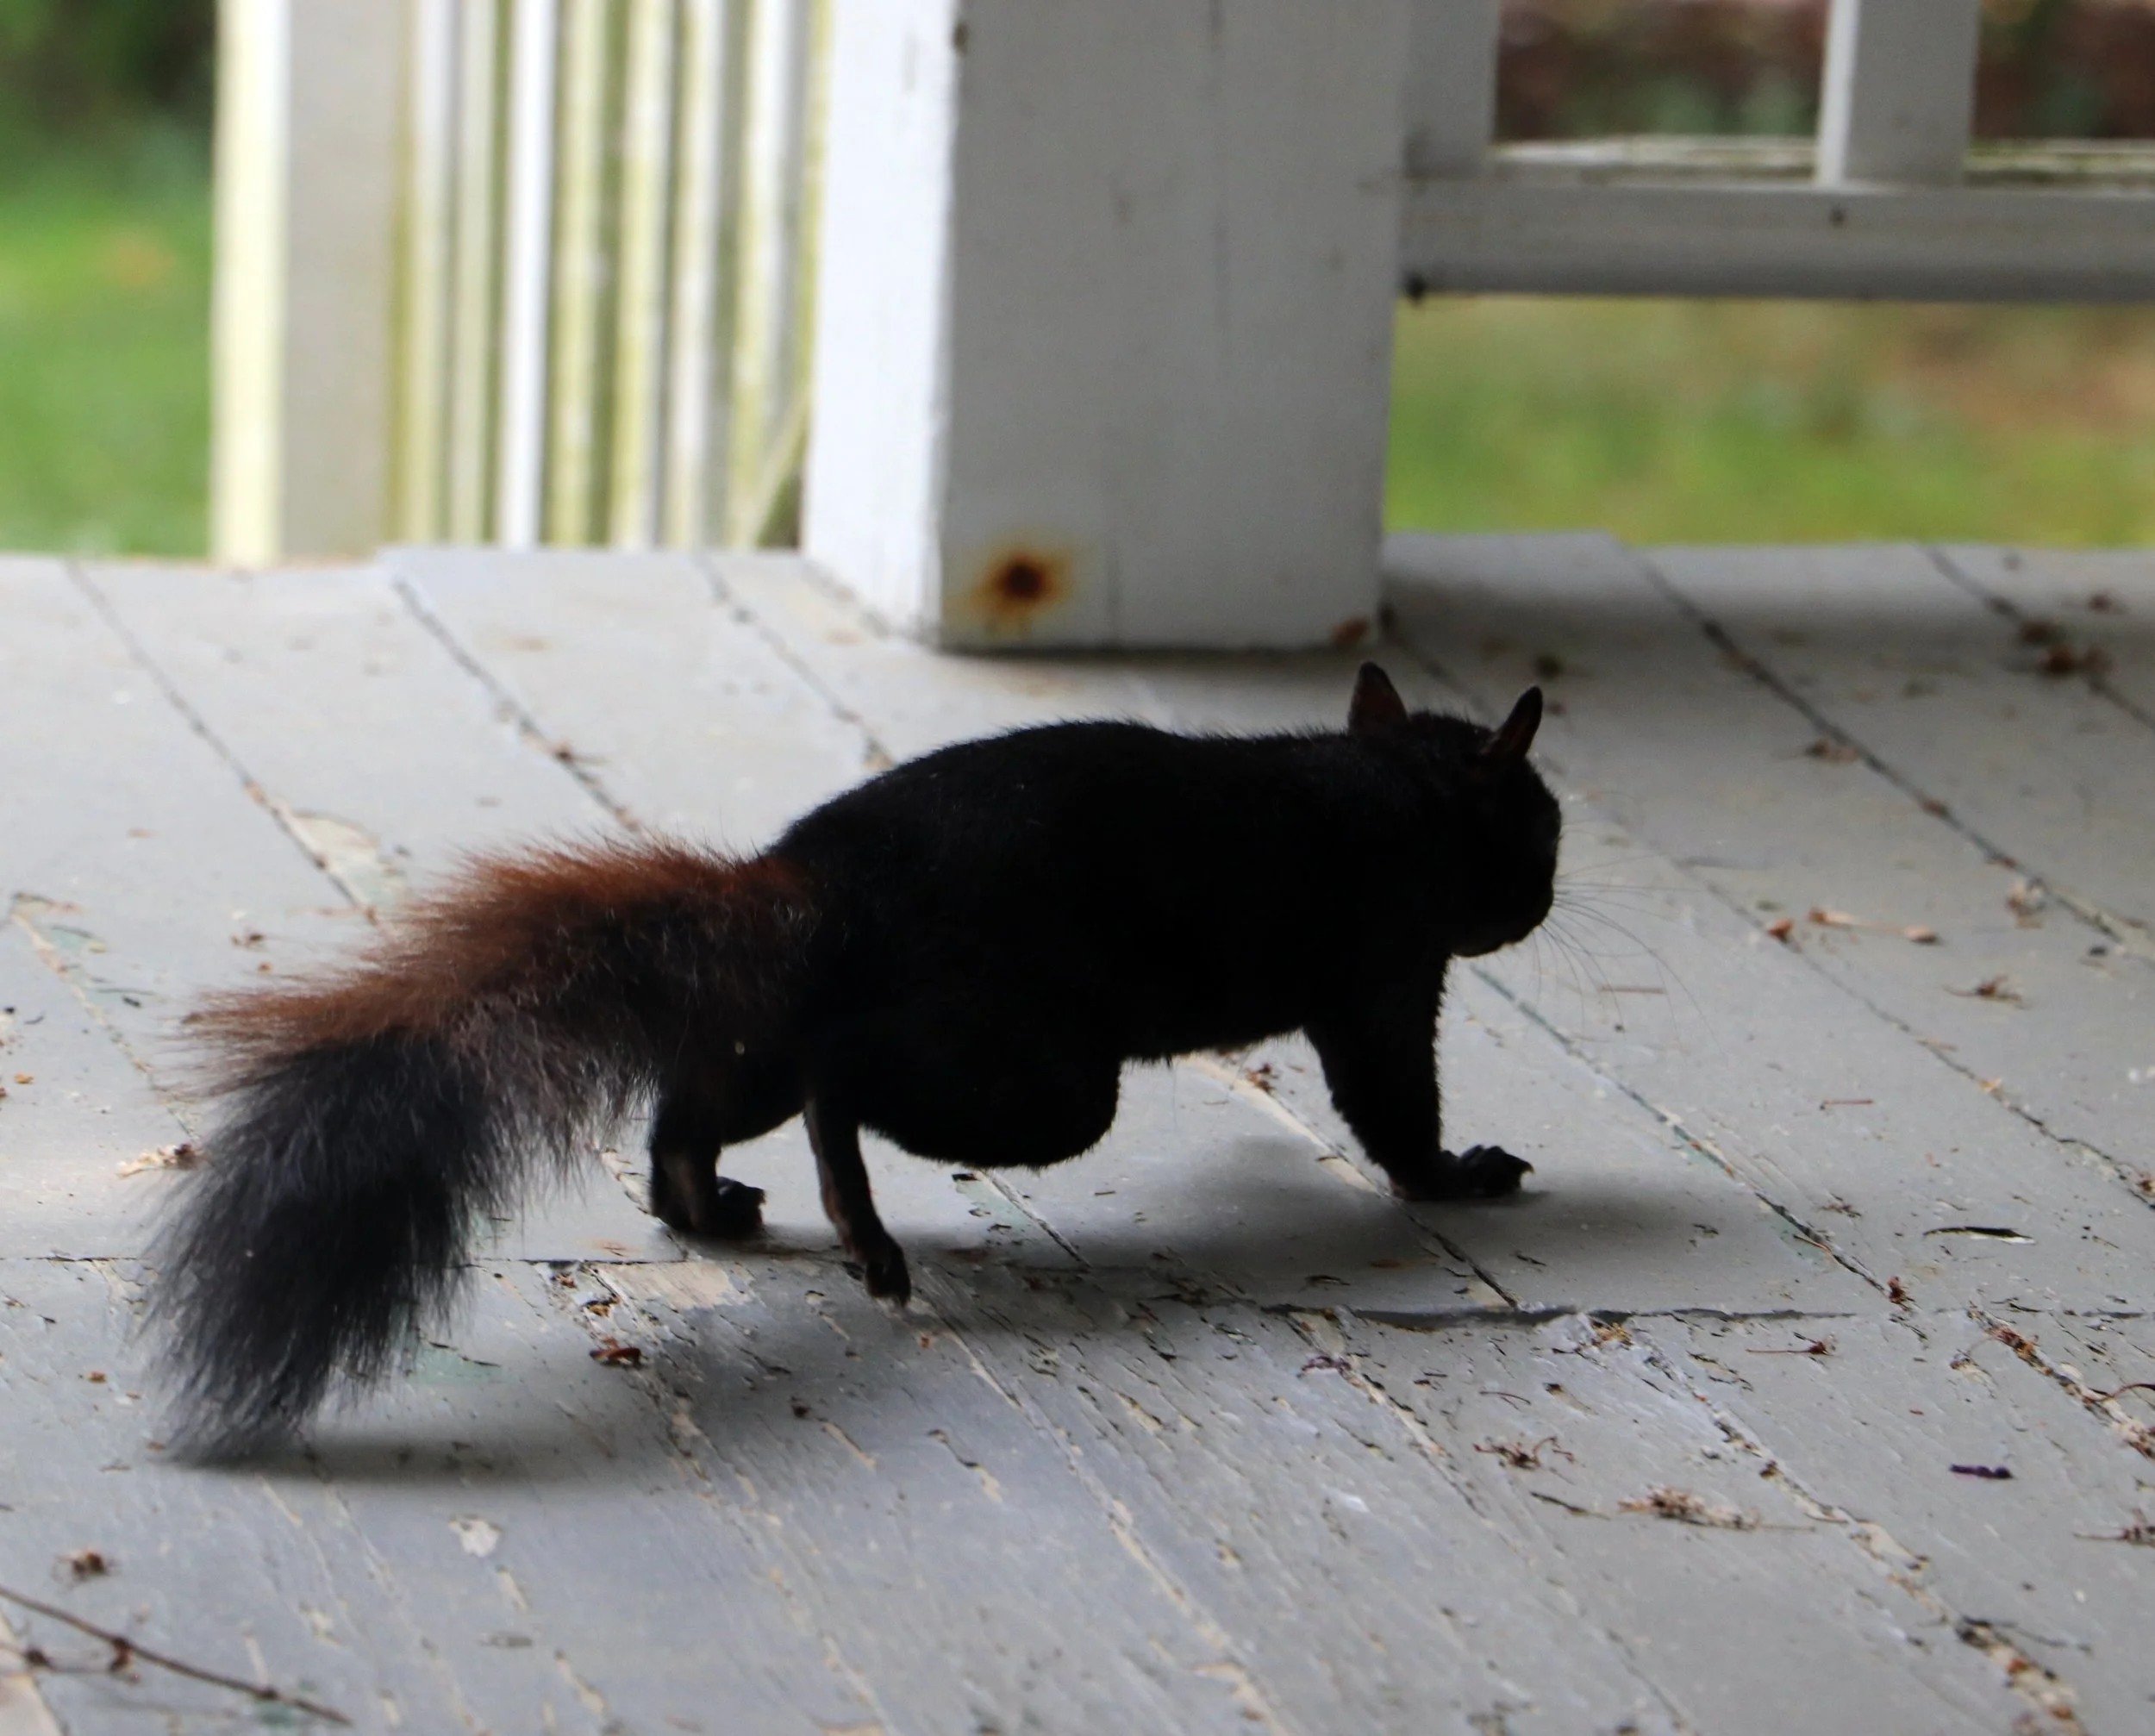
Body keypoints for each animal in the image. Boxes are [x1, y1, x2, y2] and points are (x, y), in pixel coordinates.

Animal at [150, 663, 1557, 1456]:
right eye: (1540, 824)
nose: (1547, 898)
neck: (1391, 787)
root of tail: (813, 881)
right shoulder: (1386, 973)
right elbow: (1392, 1103)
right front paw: (1458, 1173)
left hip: (765, 1032)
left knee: (695, 1113)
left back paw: (711, 1207)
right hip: (1037, 1076)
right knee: (848, 1092)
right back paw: (856, 1221)